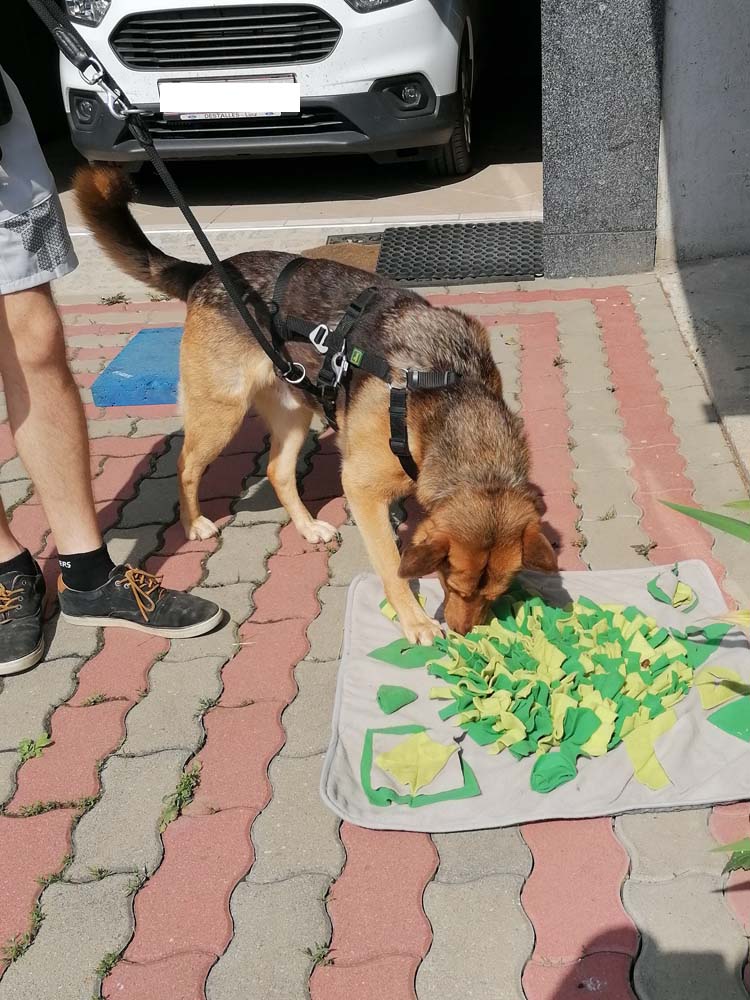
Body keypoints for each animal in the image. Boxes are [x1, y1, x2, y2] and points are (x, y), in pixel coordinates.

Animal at [75, 164, 558, 644]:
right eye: (453, 584)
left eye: (495, 592)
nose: (463, 631)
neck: (452, 392)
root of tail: (212, 272)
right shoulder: (361, 489)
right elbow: (392, 567)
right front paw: (415, 620)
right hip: (221, 414)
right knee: (187, 465)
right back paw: (194, 523)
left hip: (294, 413)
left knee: (277, 471)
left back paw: (306, 526)